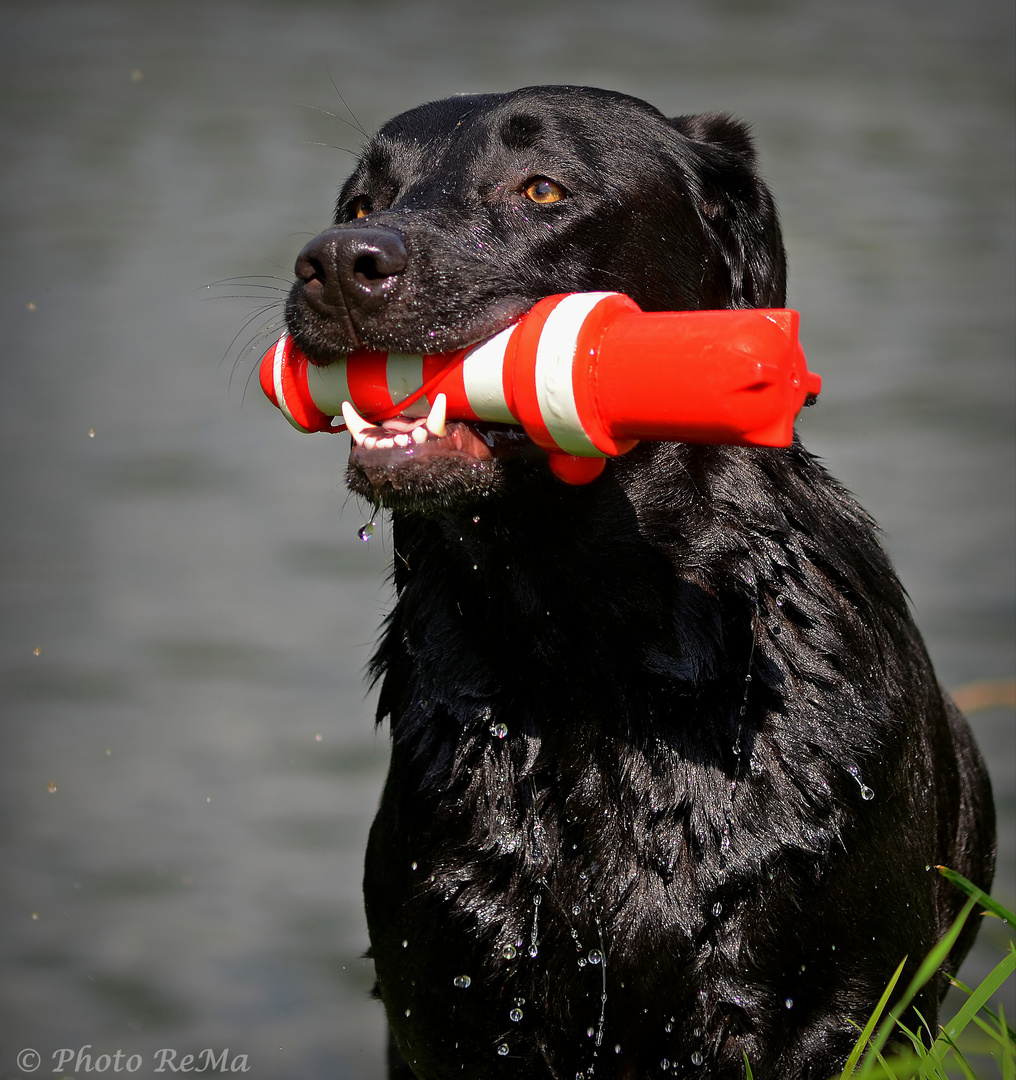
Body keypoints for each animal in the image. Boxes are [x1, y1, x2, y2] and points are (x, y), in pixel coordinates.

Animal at [280, 86, 993, 1080]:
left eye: (542, 188)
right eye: (358, 203)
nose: (340, 264)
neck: (588, 662)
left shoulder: (832, 1014)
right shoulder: (449, 1009)